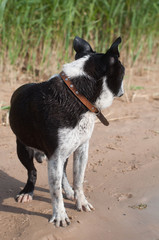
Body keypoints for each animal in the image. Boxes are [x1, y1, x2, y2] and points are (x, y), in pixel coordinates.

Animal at [9, 36, 125, 227]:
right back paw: (27, 192)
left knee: (63, 172)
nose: (123, 89)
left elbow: (78, 179)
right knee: (32, 171)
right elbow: (55, 191)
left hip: (65, 152)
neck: (78, 93)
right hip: (23, 147)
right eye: (122, 72)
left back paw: (69, 191)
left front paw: (81, 201)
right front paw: (60, 215)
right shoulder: (55, 155)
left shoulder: (81, 149)